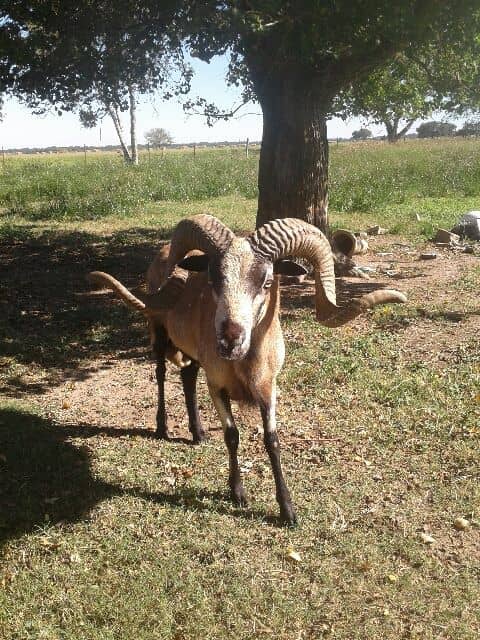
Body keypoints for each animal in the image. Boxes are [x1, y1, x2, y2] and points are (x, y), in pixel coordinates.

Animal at [89, 215, 406, 525]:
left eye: (266, 282)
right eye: (213, 279)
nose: (230, 338)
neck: (244, 365)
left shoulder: (269, 388)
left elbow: (272, 440)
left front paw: (288, 511)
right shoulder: (216, 385)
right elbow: (232, 435)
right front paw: (238, 493)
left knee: (187, 377)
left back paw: (198, 433)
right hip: (158, 331)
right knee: (161, 374)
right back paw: (162, 427)